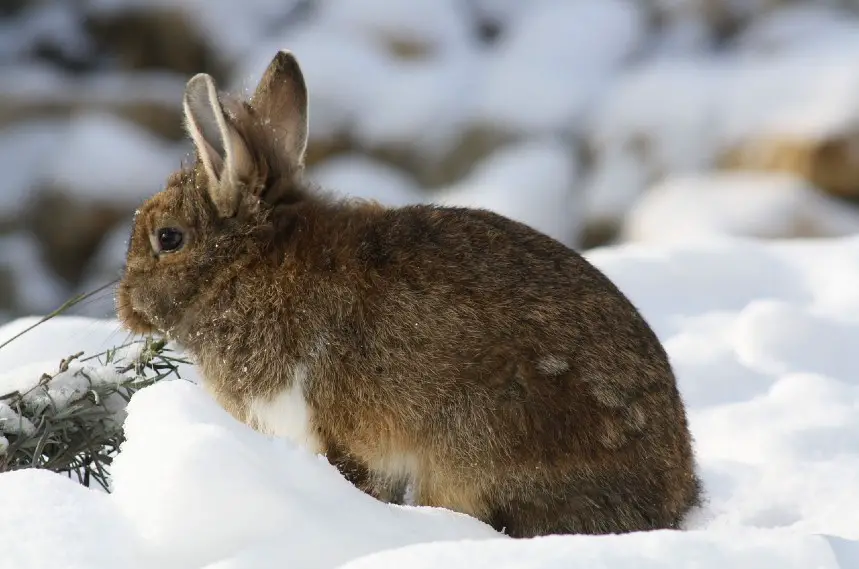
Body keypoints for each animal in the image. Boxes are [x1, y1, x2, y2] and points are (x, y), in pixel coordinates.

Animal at [116, 50, 704, 536]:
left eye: (168, 238)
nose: (124, 307)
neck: (247, 266)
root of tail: (668, 501)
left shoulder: (328, 429)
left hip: (482, 437)